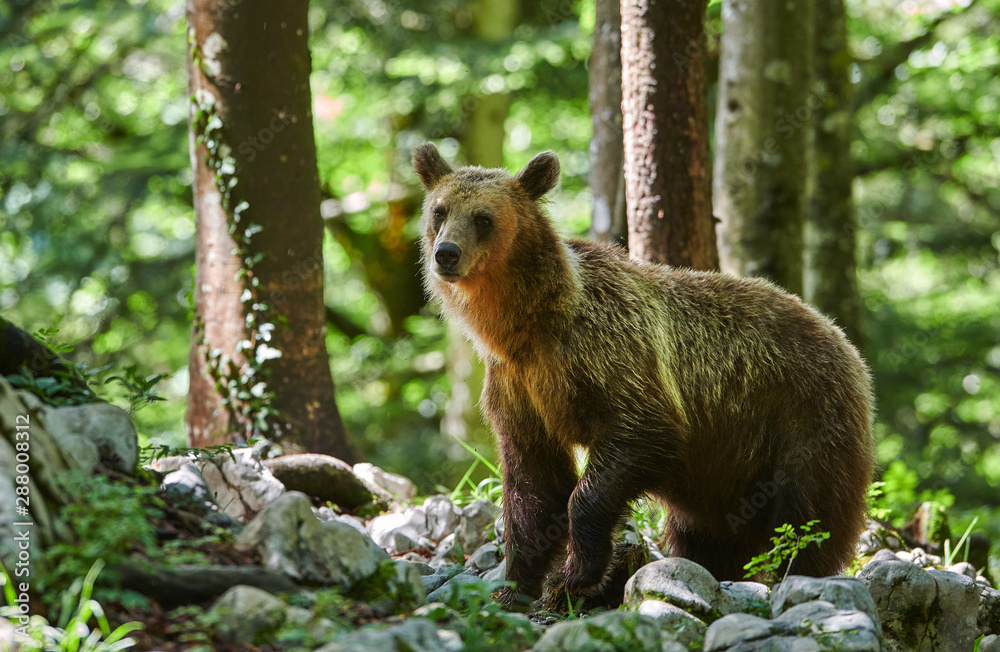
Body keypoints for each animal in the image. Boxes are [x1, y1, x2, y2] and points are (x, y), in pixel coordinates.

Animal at [412, 142, 875, 606]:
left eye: (484, 218)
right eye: (440, 210)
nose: (447, 253)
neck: (531, 325)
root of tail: (843, 340)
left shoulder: (614, 357)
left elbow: (631, 441)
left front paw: (578, 574)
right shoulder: (518, 385)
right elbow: (533, 483)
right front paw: (515, 586)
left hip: (801, 418)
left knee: (807, 516)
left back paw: (797, 573)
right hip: (726, 470)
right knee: (707, 534)